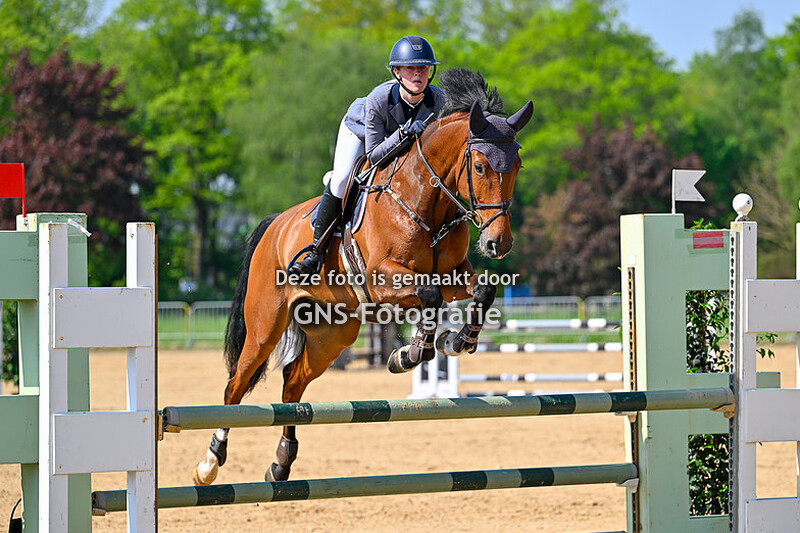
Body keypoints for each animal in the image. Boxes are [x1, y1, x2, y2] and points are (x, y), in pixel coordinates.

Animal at [192, 68, 534, 485]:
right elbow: (430, 296)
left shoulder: (453, 275)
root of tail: (276, 225)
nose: (498, 243)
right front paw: (409, 353)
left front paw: (458, 341)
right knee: (236, 385)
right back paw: (210, 462)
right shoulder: (381, 280)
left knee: (293, 380)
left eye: (517, 166)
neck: (427, 199)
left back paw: (281, 462)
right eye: (481, 166)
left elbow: (482, 291)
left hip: (332, 333)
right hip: (264, 326)